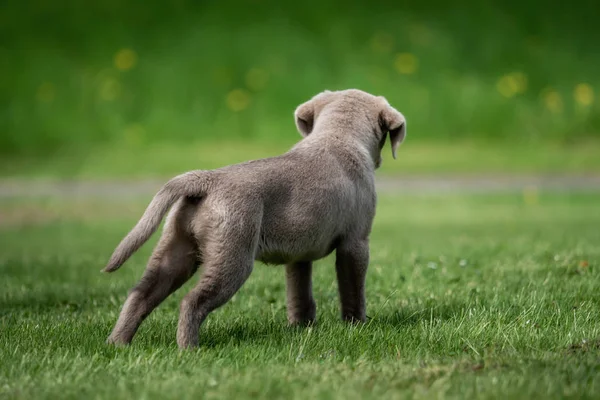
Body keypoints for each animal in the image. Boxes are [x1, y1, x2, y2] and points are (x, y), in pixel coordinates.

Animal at [104, 89, 408, 348]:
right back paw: (189, 349)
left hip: (176, 248)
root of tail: (207, 180)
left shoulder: (299, 254)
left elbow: (299, 294)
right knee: (191, 302)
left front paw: (301, 328)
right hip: (233, 255)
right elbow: (353, 290)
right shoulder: (355, 242)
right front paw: (356, 326)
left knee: (141, 294)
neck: (338, 136)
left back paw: (118, 344)